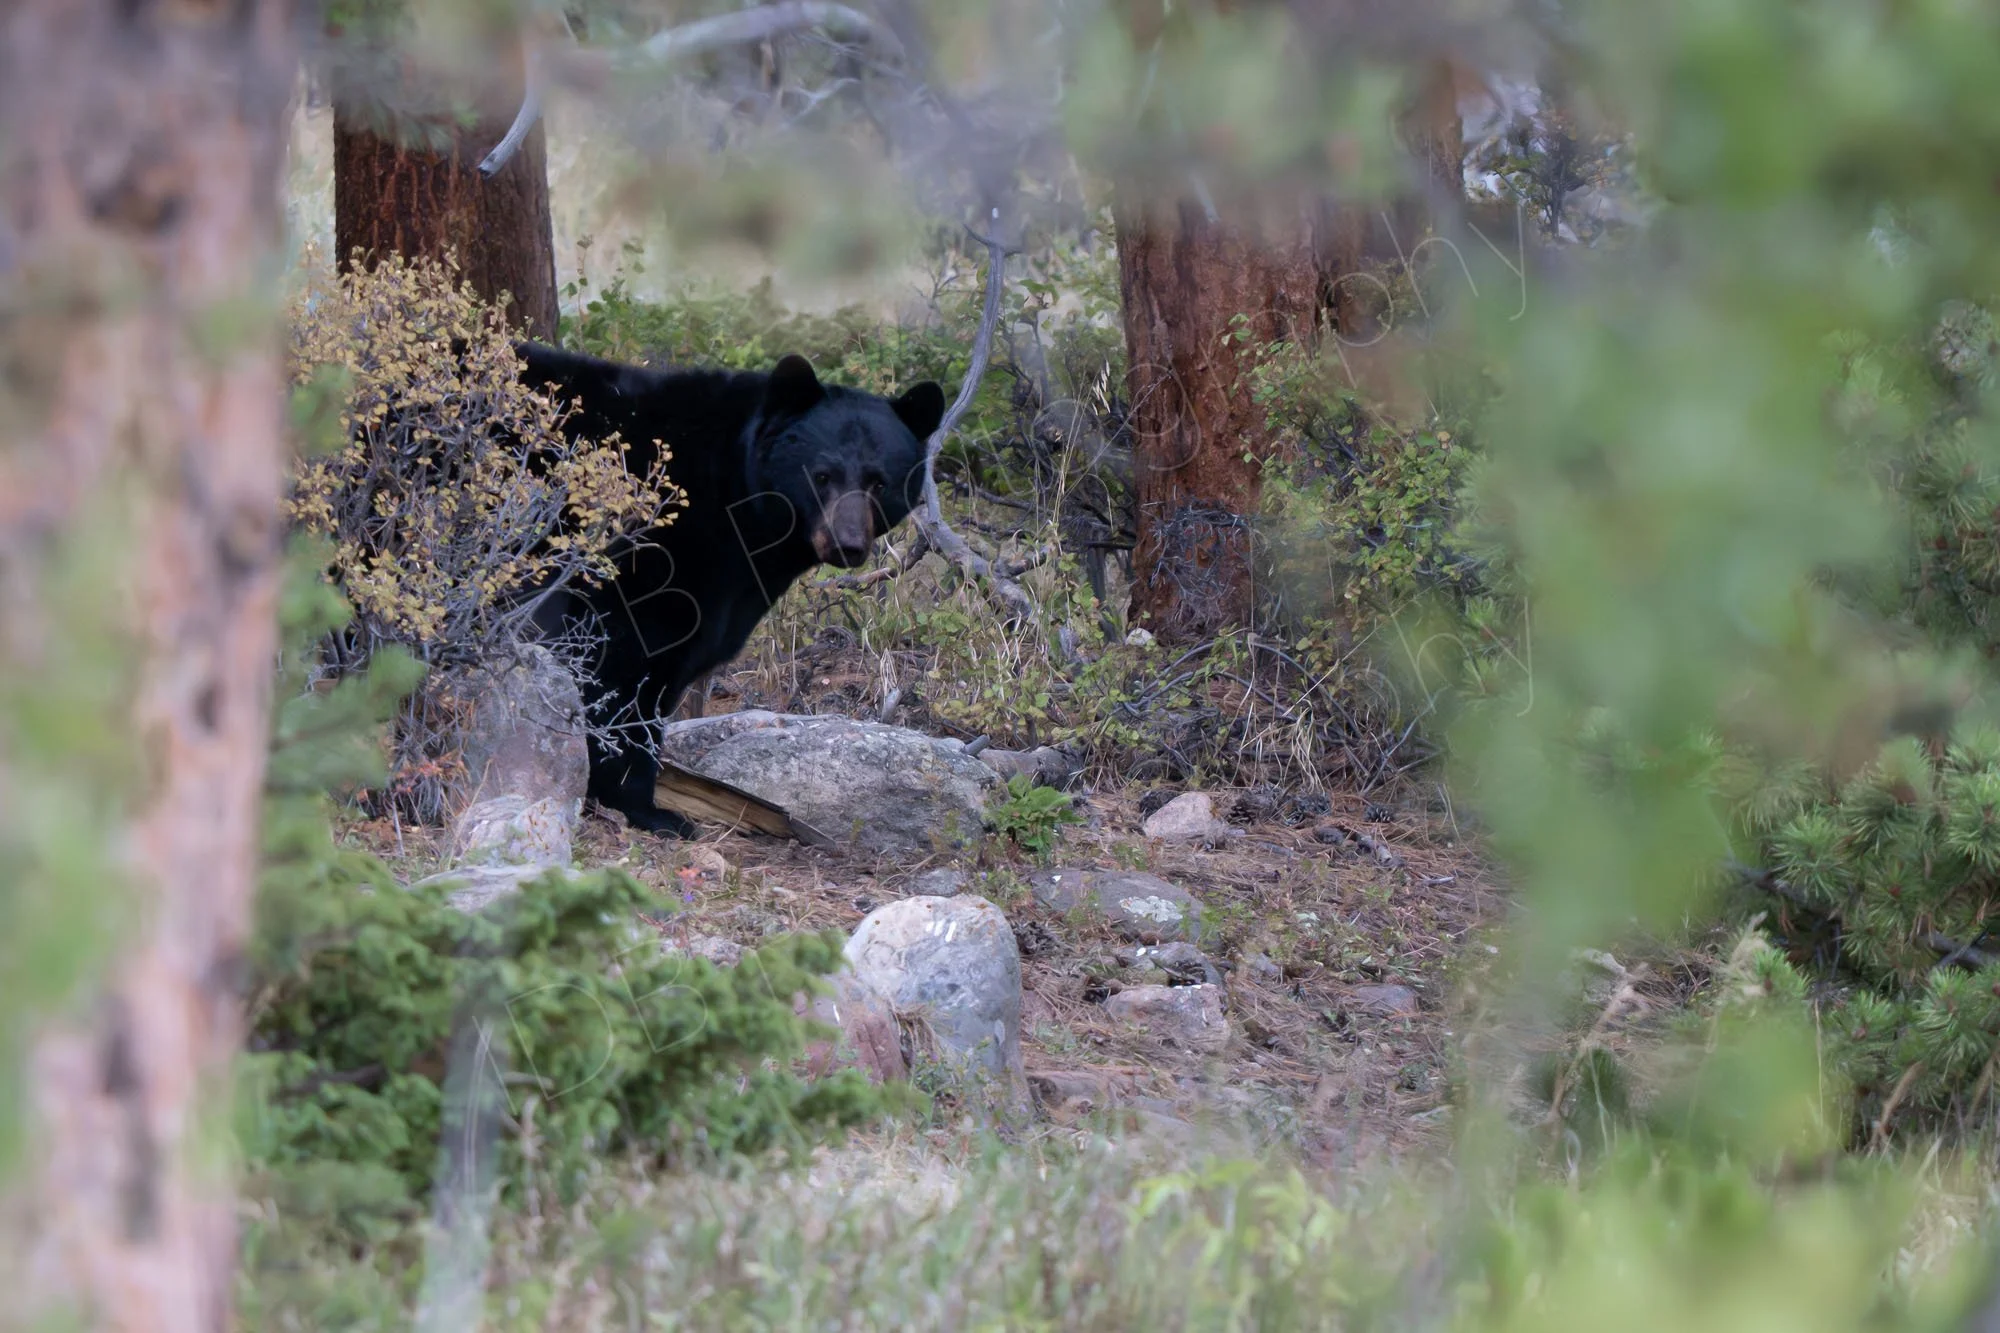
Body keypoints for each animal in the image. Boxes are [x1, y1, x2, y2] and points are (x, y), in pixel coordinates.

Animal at [512, 341, 947, 837]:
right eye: (822, 475)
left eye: (878, 481)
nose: (847, 544)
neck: (737, 499)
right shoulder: (658, 547)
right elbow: (631, 656)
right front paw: (648, 806)